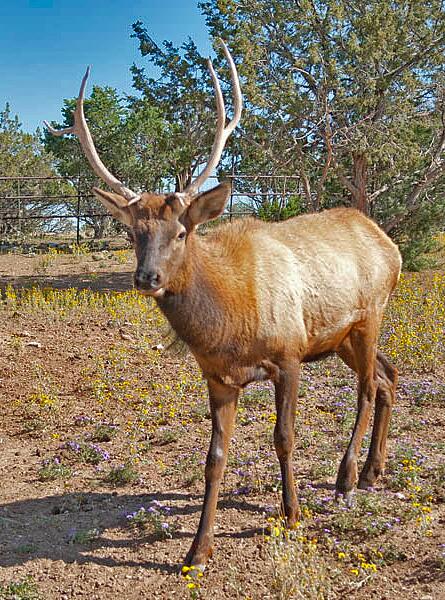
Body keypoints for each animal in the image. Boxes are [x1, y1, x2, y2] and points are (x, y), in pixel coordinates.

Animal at [46, 43, 402, 572]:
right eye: (133, 232)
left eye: (181, 231)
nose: (146, 278)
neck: (231, 323)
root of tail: (389, 244)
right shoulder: (216, 375)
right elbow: (214, 458)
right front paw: (198, 548)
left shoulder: (289, 354)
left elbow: (284, 436)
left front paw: (292, 514)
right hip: (338, 337)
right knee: (387, 375)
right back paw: (375, 468)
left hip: (369, 314)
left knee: (366, 387)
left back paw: (347, 477)